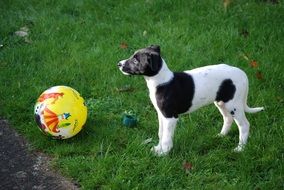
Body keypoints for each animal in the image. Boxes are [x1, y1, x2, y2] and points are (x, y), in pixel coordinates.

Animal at [116, 45, 262, 156]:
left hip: (233, 105)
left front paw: (164, 153)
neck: (161, 80)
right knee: (227, 118)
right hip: (221, 102)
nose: (119, 64)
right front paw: (158, 149)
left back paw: (240, 148)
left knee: (244, 125)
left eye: (136, 60)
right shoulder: (161, 114)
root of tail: (243, 74)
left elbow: (166, 137)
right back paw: (221, 135)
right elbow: (161, 133)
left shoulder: (170, 117)